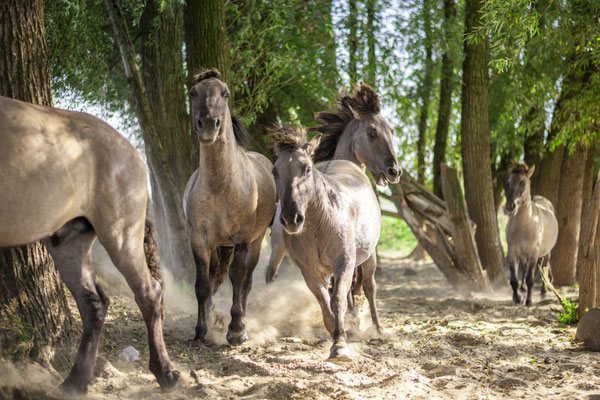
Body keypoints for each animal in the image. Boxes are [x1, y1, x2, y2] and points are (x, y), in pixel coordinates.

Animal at [184, 67, 278, 346]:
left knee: (246, 281)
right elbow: (202, 284)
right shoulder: (200, 239)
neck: (220, 186)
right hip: (218, 245)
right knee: (215, 277)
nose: (208, 125)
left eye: (225, 93)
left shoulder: (243, 238)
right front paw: (200, 331)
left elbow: (237, 277)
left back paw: (242, 324)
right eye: (193, 92)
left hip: (255, 243)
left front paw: (236, 330)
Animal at [270, 126, 382, 362]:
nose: (291, 218)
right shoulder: (310, 271)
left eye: (307, 169)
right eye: (275, 172)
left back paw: (377, 330)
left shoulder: (344, 263)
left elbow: (337, 300)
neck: (319, 223)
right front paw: (338, 335)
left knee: (369, 288)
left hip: (369, 258)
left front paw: (340, 347)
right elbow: (325, 304)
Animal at [506, 162, 556, 306]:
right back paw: (522, 290)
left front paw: (528, 301)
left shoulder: (533, 253)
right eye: (508, 183)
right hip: (523, 256)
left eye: (522, 183)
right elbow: (514, 279)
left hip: (546, 253)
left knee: (544, 268)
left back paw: (543, 292)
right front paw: (517, 298)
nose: (510, 207)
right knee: (523, 269)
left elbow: (530, 278)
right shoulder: (512, 253)